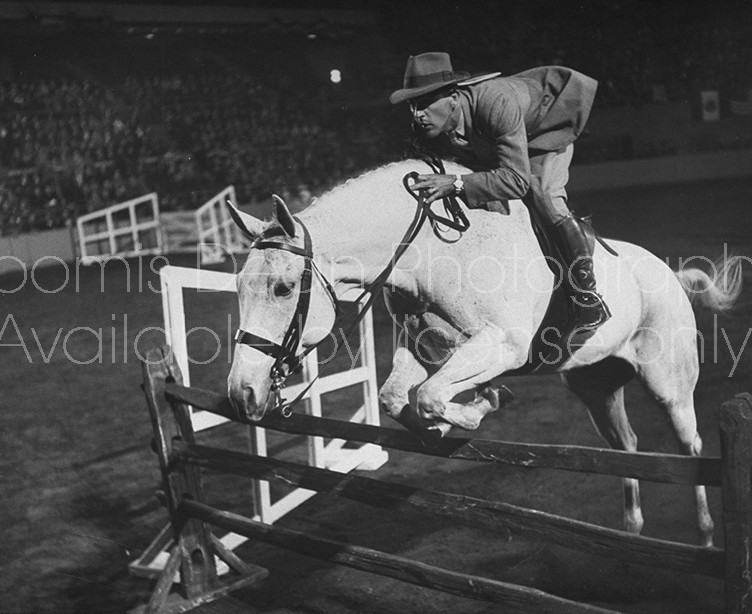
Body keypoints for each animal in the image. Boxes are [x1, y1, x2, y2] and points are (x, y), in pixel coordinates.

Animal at [226, 160, 744, 548]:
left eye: (282, 287)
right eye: (239, 284)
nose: (241, 392)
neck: (434, 253)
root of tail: (671, 274)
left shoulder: (502, 345)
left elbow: (431, 396)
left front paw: (481, 405)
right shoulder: (423, 345)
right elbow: (400, 398)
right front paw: (459, 415)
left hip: (668, 383)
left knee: (688, 445)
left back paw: (704, 535)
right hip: (595, 388)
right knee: (628, 446)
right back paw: (633, 530)